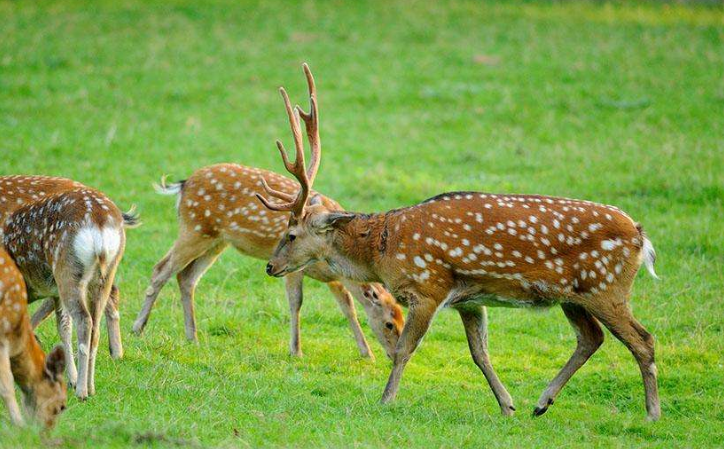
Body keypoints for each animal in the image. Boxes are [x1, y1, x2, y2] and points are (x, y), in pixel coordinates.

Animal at [133, 65, 404, 358]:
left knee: (186, 277)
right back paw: (137, 328)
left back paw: (192, 337)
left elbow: (347, 306)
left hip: (216, 241)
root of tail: (182, 185)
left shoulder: (333, 278)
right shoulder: (293, 266)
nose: (395, 355)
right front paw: (296, 350)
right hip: (194, 227)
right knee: (161, 268)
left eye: (402, 319)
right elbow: (297, 301)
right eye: (389, 324)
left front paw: (366, 353)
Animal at [256, 63, 660, 420]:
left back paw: (652, 413)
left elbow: (405, 349)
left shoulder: (429, 286)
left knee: (643, 339)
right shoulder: (469, 298)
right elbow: (479, 353)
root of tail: (641, 236)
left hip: (605, 287)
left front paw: (385, 400)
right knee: (591, 338)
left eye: (291, 234)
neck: (384, 251)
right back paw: (541, 403)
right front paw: (507, 406)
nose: (271, 266)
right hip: (573, 296)